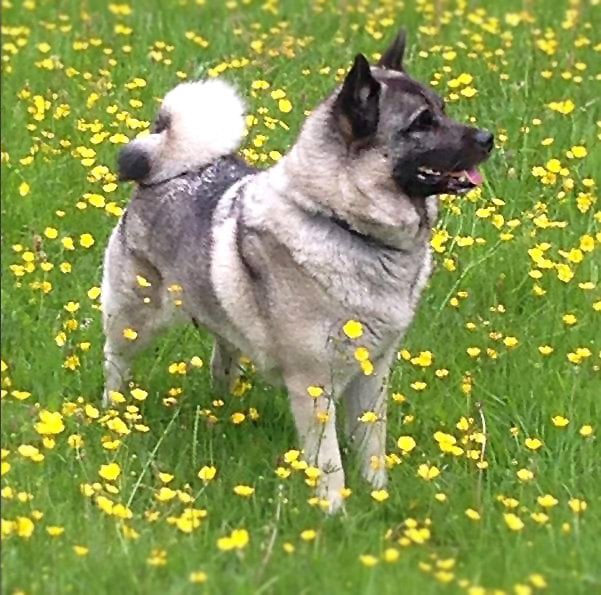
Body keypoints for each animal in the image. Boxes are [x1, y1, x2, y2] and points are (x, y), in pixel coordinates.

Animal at [102, 30, 492, 512]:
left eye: (443, 108)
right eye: (422, 123)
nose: (488, 137)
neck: (343, 223)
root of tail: (166, 167)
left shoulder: (373, 375)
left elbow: (372, 446)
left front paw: (377, 497)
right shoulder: (314, 384)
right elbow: (329, 462)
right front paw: (334, 512)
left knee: (222, 358)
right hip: (134, 317)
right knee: (117, 362)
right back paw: (114, 414)